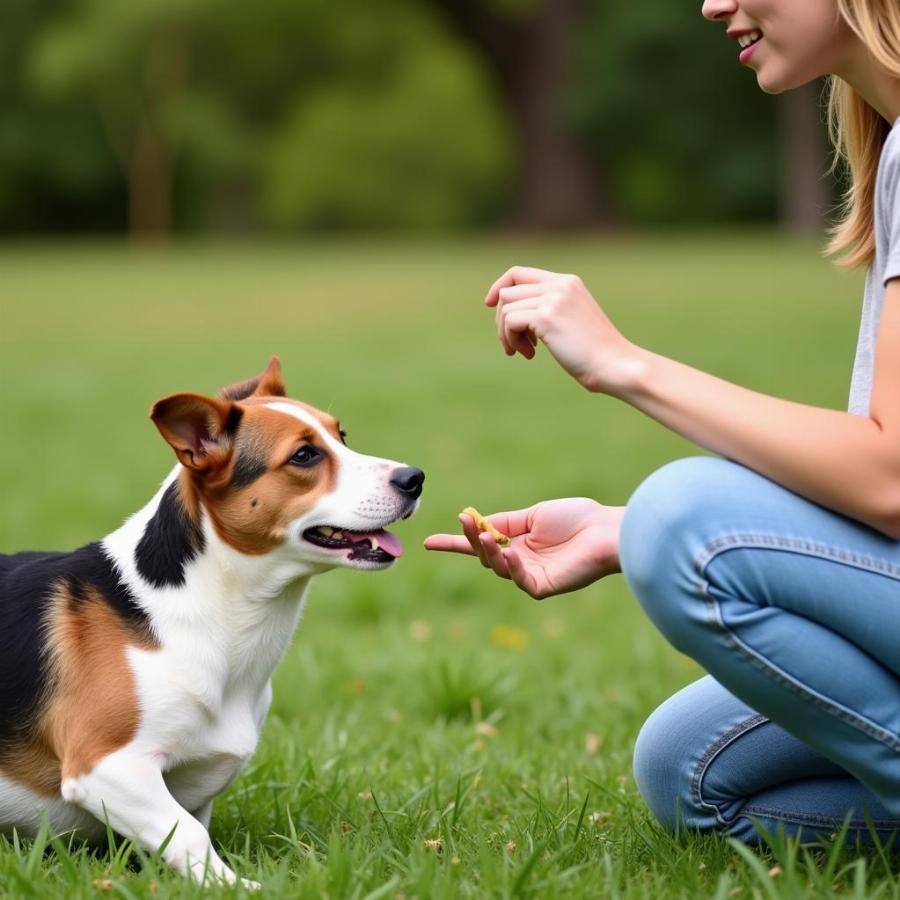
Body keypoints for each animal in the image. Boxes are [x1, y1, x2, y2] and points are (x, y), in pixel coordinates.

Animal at [0, 356, 422, 884]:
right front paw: (238, 887)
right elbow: (189, 835)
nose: (414, 478)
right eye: (304, 455)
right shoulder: (105, 766)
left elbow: (186, 829)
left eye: (341, 435)